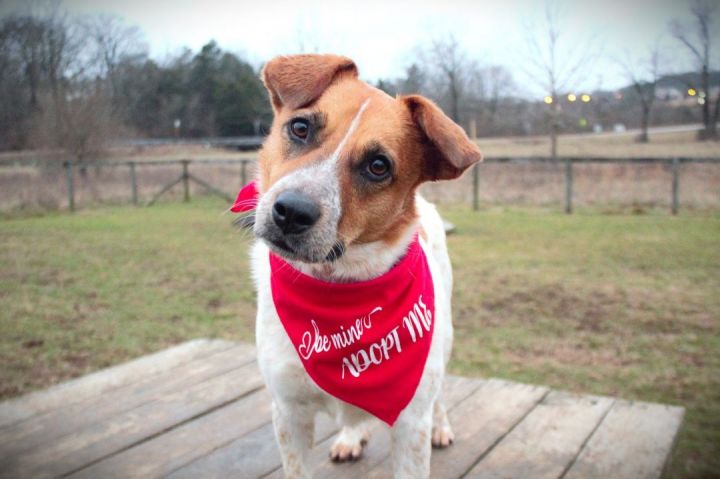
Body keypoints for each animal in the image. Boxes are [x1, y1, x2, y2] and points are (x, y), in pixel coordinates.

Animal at [248, 54, 484, 478]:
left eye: (378, 165)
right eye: (300, 128)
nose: (291, 212)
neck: (337, 289)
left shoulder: (411, 424)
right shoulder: (288, 413)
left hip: (444, 341)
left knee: (440, 393)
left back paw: (441, 426)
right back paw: (349, 437)